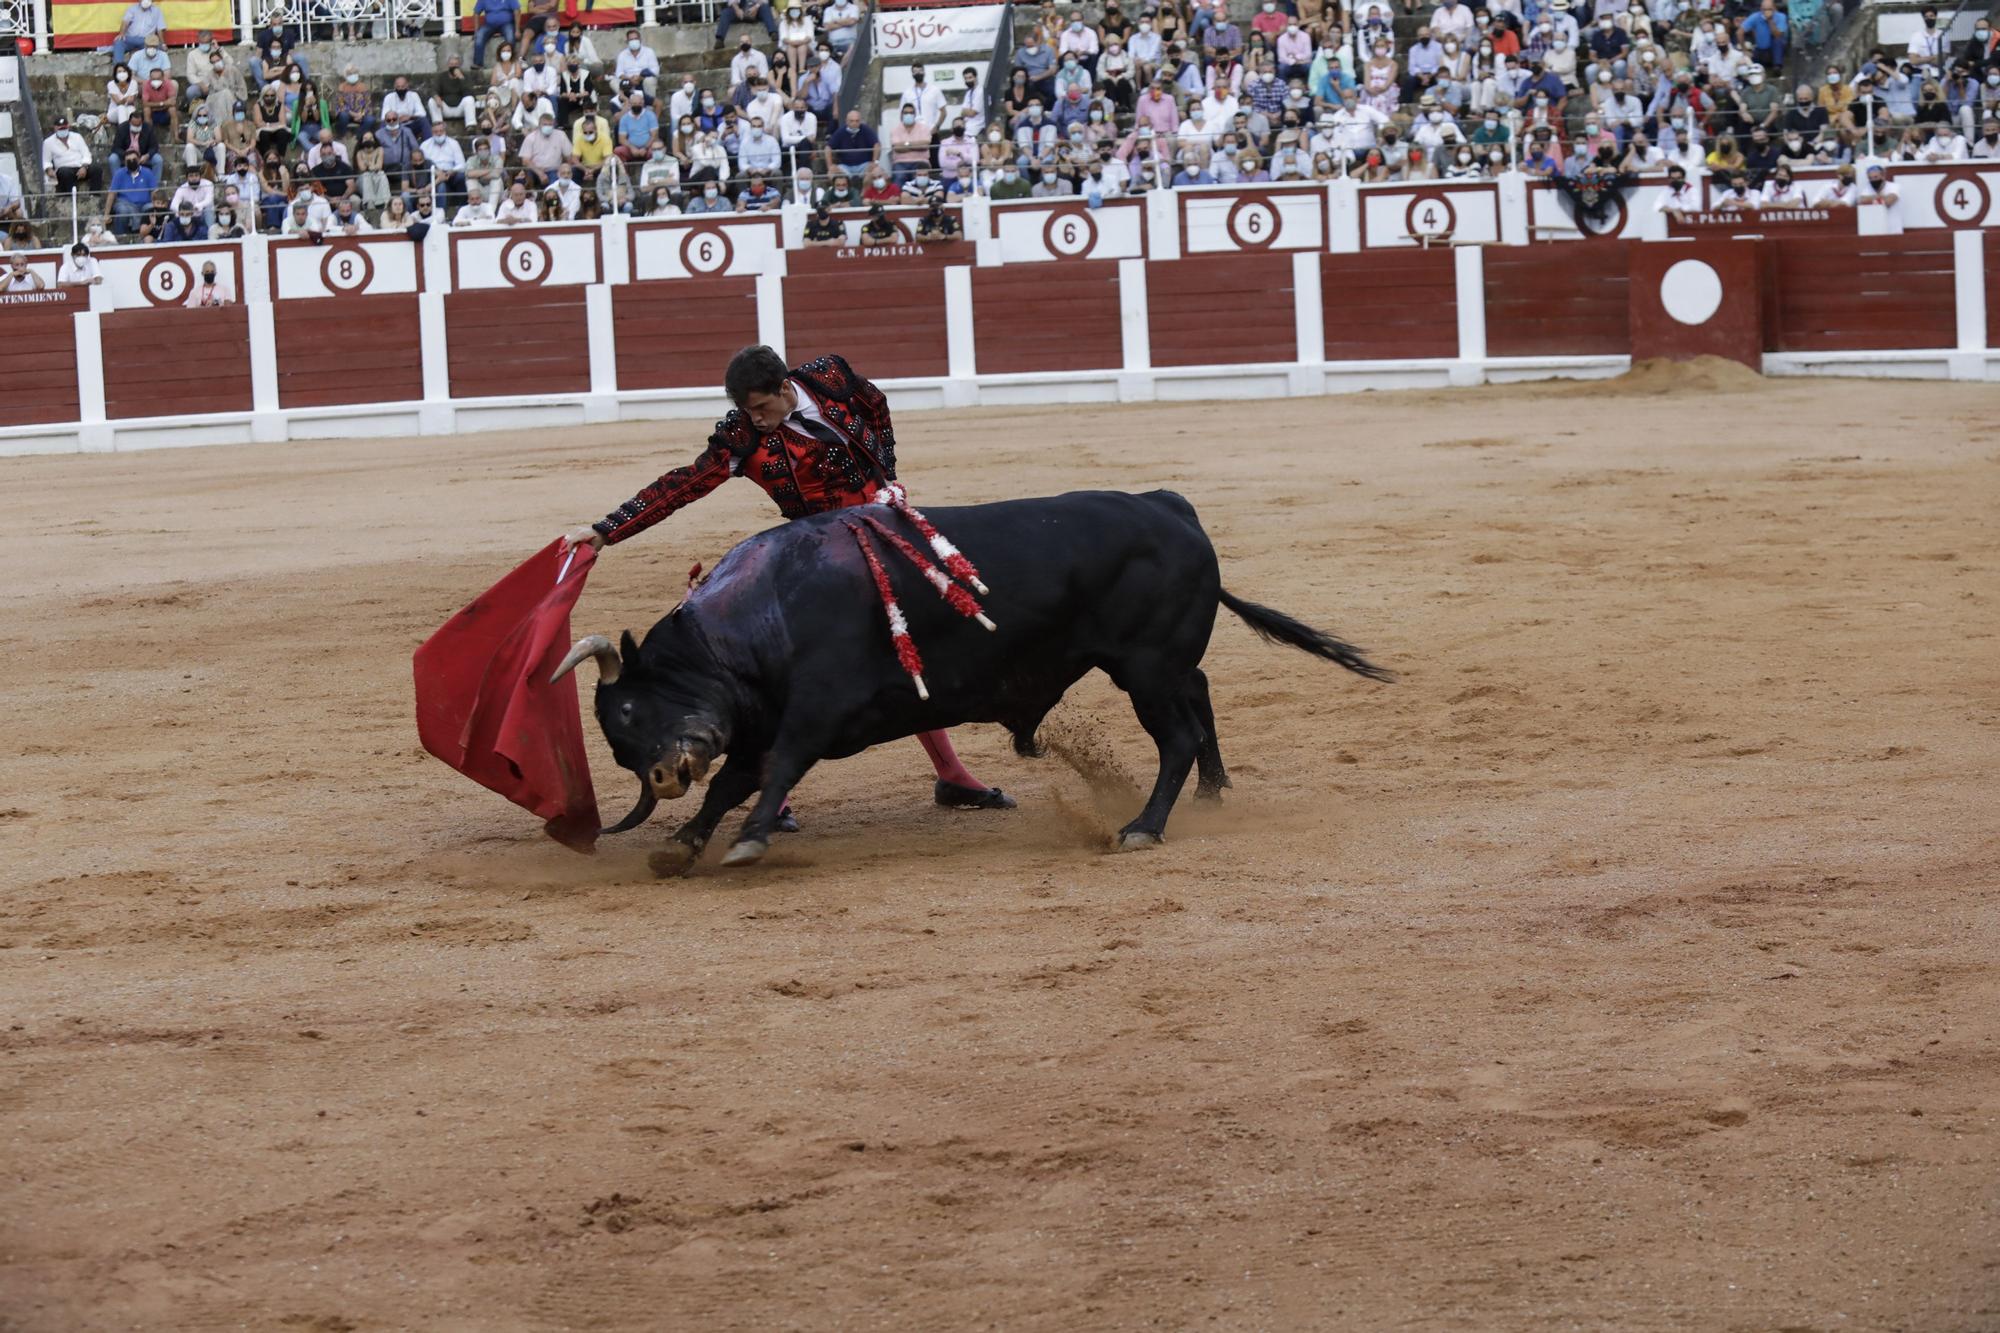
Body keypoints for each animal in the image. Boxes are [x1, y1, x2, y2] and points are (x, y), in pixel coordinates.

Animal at [548, 488, 1392, 872]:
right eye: (618, 741)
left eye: (629, 707)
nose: (664, 774)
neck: (759, 615)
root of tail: (1169, 505)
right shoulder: (756, 721)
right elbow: (734, 780)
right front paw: (683, 842)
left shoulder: (815, 709)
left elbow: (775, 769)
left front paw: (746, 840)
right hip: (1161, 664)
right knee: (1204, 699)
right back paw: (1211, 797)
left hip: (1148, 668)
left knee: (1179, 734)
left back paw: (1142, 826)